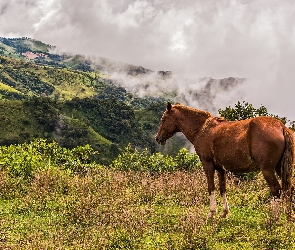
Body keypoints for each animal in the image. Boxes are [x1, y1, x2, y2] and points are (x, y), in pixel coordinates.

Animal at [156, 101, 294, 219]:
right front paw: (224, 212)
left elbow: (211, 187)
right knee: (288, 189)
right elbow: (222, 188)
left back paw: (274, 217)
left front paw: (212, 213)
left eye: (163, 119)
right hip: (280, 168)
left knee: (276, 190)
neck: (202, 129)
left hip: (267, 169)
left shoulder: (208, 164)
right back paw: (288, 215)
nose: (158, 138)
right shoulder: (220, 169)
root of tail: (281, 127)